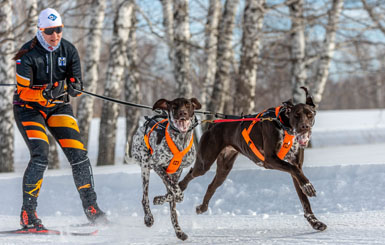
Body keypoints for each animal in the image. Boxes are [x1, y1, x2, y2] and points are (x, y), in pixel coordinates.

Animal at [128, 97, 201, 241]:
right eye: (174, 106)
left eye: (188, 105)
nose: (182, 113)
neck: (181, 140)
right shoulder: (156, 165)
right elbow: (178, 193)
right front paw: (162, 199)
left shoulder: (176, 172)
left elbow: (174, 195)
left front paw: (160, 199)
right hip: (145, 165)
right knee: (145, 198)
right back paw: (148, 218)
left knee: (172, 207)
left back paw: (178, 231)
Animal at [178, 88, 326, 232]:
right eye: (296, 115)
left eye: (310, 115)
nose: (305, 127)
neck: (285, 126)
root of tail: (213, 124)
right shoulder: (270, 160)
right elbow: (294, 170)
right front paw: (308, 186)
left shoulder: (296, 168)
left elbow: (303, 196)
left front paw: (315, 222)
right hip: (205, 163)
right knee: (191, 173)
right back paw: (179, 188)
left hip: (224, 169)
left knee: (211, 187)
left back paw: (201, 207)